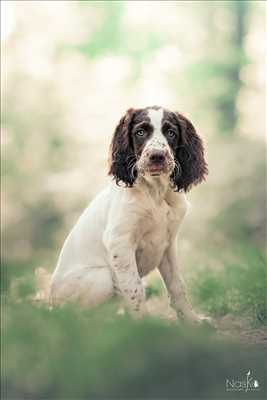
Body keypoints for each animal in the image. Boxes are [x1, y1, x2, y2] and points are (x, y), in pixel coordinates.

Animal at [50, 104, 209, 324]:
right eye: (140, 132)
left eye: (171, 133)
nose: (157, 156)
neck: (155, 192)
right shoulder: (120, 242)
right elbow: (134, 290)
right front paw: (143, 327)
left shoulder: (168, 244)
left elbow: (177, 285)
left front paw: (192, 320)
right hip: (102, 278)